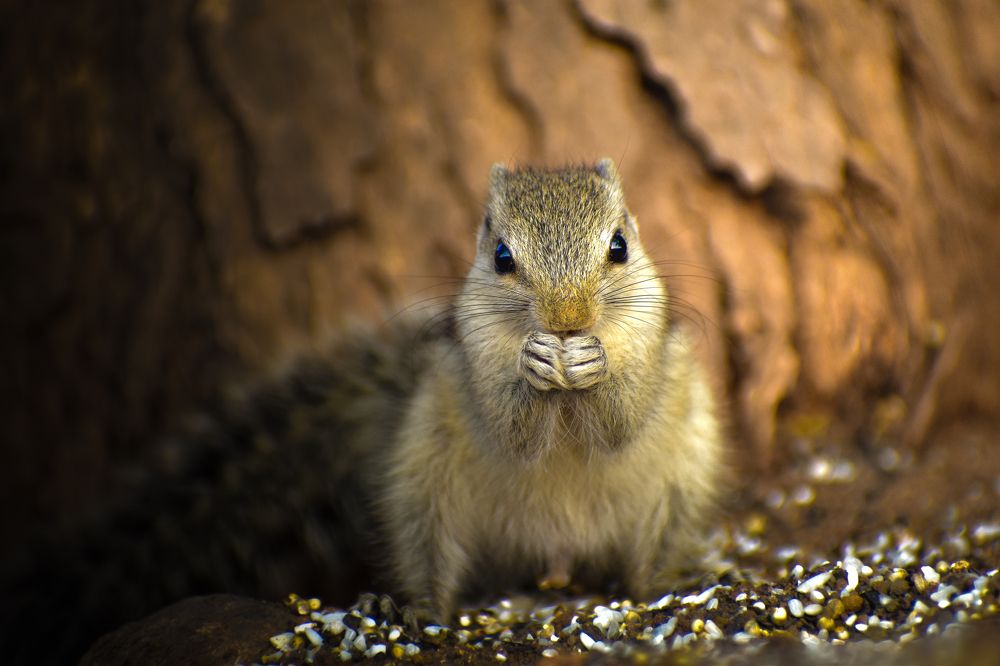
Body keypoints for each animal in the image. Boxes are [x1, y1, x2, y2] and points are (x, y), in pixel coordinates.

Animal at [0, 159, 721, 661]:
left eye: (619, 246)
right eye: (502, 258)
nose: (568, 320)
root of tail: (557, 559)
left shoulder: (655, 351)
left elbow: (622, 421)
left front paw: (593, 366)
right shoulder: (471, 367)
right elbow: (510, 430)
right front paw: (535, 364)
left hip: (680, 481)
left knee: (654, 551)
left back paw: (656, 589)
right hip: (425, 486)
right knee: (430, 561)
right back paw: (413, 610)